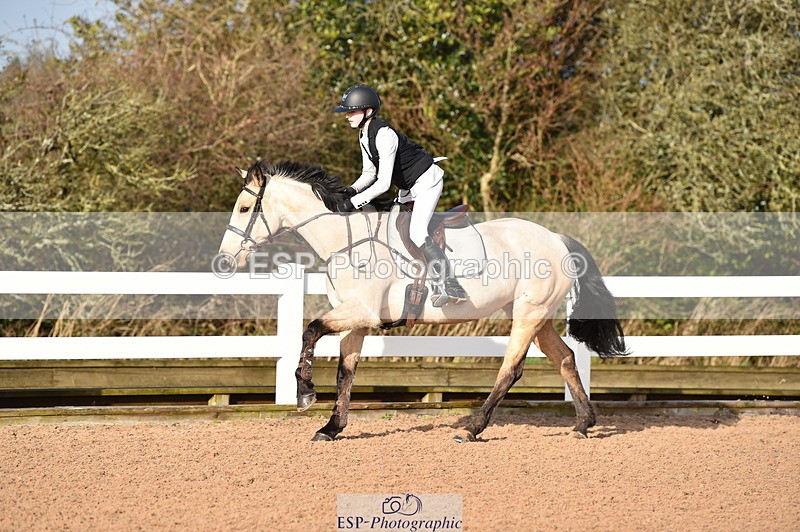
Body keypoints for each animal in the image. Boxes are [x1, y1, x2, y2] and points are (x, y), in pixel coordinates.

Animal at [218, 160, 628, 442]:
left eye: (244, 209)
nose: (223, 261)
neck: (345, 241)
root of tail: (556, 238)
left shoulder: (359, 312)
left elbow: (311, 330)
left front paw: (304, 392)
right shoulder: (357, 319)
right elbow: (345, 372)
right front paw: (332, 427)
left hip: (529, 312)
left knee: (511, 368)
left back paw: (474, 428)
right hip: (534, 313)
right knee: (565, 358)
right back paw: (583, 423)